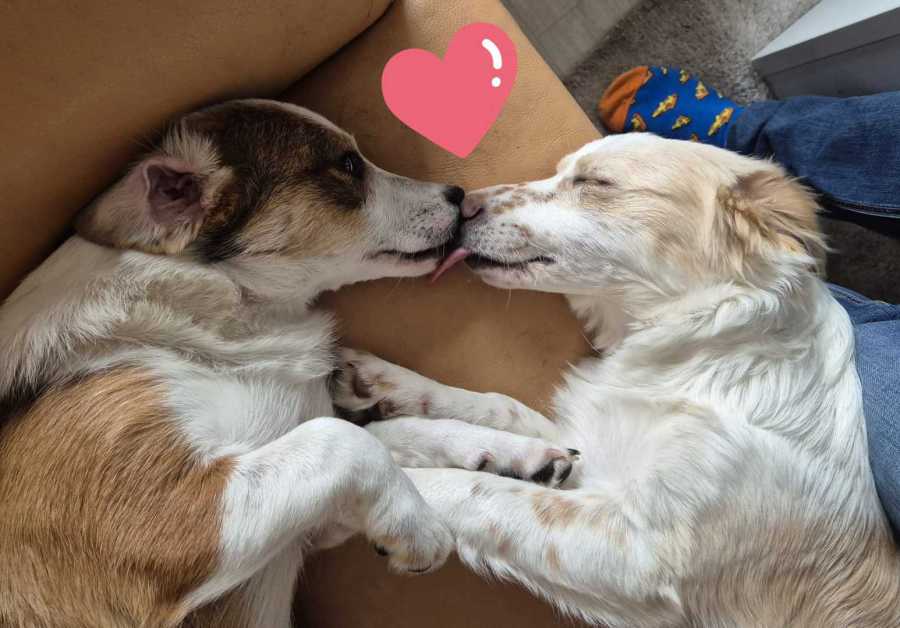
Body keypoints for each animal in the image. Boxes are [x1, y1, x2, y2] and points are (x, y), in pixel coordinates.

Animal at [0, 98, 490, 627]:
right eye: (347, 165)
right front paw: (417, 525)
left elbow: (377, 434)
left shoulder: (304, 517)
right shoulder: (172, 513)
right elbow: (341, 439)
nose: (458, 193)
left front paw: (483, 448)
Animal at [333, 134, 900, 627]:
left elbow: (483, 492)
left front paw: (394, 484)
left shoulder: (638, 552)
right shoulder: (588, 451)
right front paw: (384, 386)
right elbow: (501, 408)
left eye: (596, 182)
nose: (462, 201)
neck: (699, 353)